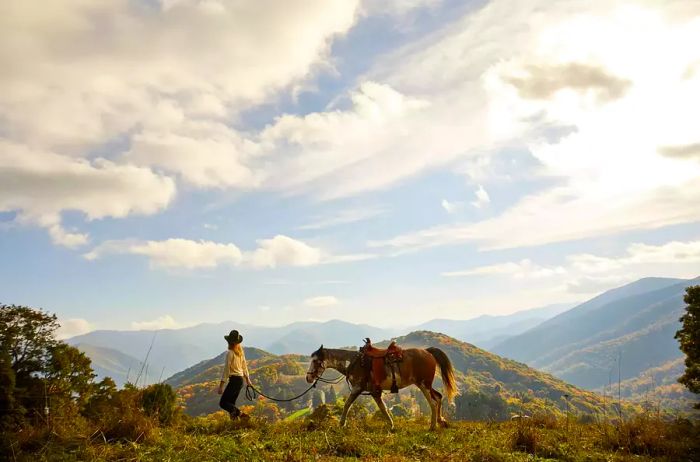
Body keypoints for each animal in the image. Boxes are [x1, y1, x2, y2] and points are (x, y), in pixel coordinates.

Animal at [304, 342, 456, 430]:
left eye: (316, 361)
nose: (308, 377)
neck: (354, 362)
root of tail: (427, 351)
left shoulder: (358, 388)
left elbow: (347, 404)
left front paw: (342, 424)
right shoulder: (375, 392)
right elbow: (383, 408)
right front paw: (391, 425)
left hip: (423, 384)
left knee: (433, 403)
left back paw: (432, 426)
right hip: (426, 385)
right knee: (438, 397)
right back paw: (441, 421)